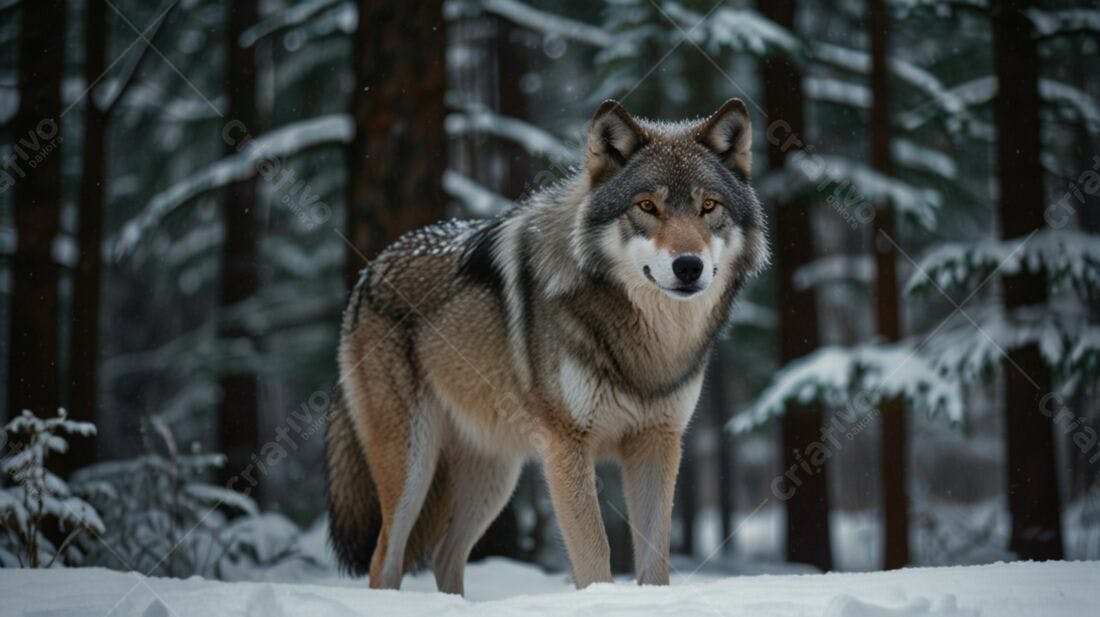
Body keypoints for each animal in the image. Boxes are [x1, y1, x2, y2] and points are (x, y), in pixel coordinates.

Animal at [325, 98, 768, 594]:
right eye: (647, 206)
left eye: (708, 206)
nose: (688, 266)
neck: (647, 347)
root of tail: (368, 273)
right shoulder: (567, 445)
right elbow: (594, 554)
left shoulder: (658, 441)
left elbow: (655, 564)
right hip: (413, 466)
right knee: (386, 559)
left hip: (495, 475)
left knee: (444, 555)